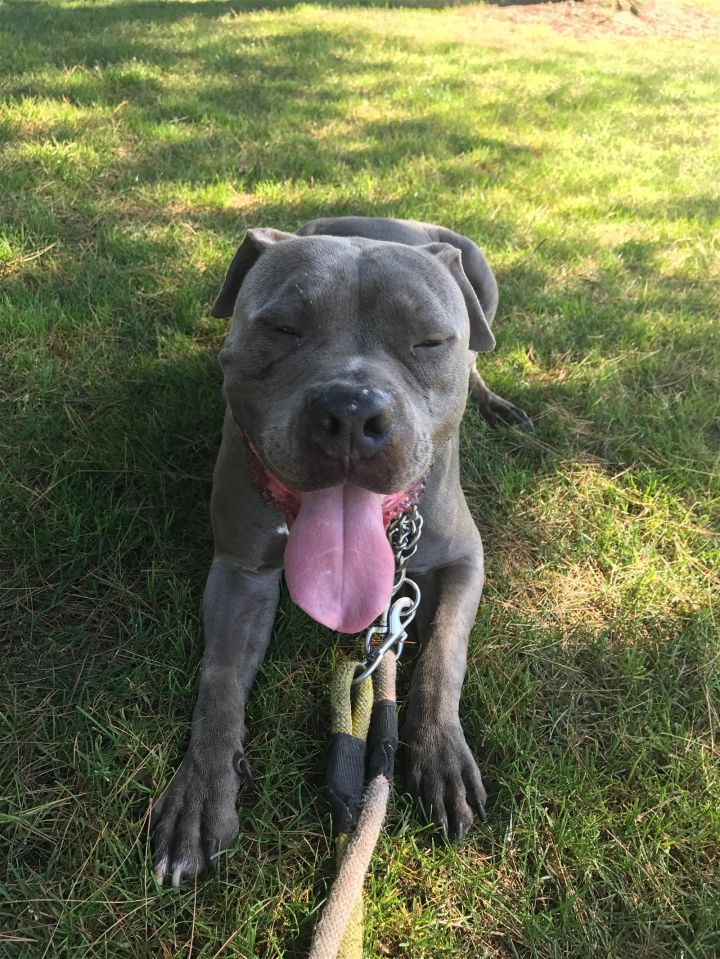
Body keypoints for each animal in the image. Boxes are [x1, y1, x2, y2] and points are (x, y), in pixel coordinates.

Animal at [152, 216, 532, 884]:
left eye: (430, 341)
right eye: (281, 327)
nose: (351, 413)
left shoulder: (464, 559)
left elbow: (443, 655)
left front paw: (439, 753)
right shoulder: (241, 571)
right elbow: (219, 682)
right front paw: (201, 789)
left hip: (480, 275)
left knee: (482, 355)